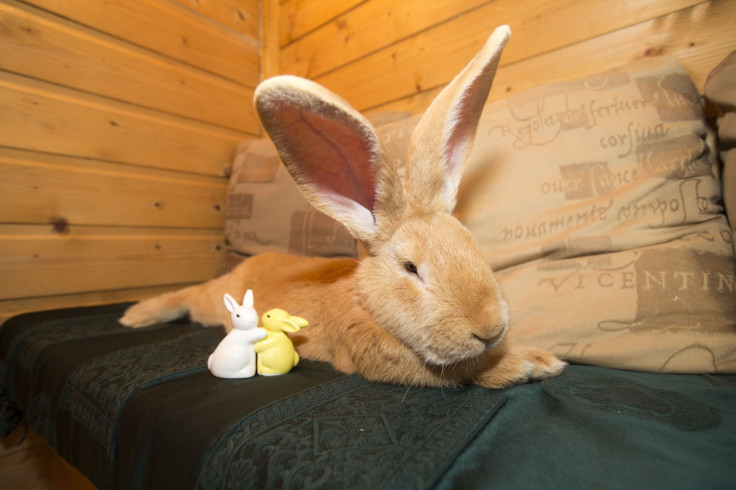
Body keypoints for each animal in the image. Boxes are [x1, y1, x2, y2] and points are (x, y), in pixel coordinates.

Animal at [122, 26, 568, 388]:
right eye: (411, 268)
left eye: (474, 247)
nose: (490, 328)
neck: (363, 301)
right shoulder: (376, 352)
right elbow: (458, 371)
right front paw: (530, 363)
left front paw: (532, 358)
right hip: (213, 300)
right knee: (189, 296)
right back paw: (135, 316)